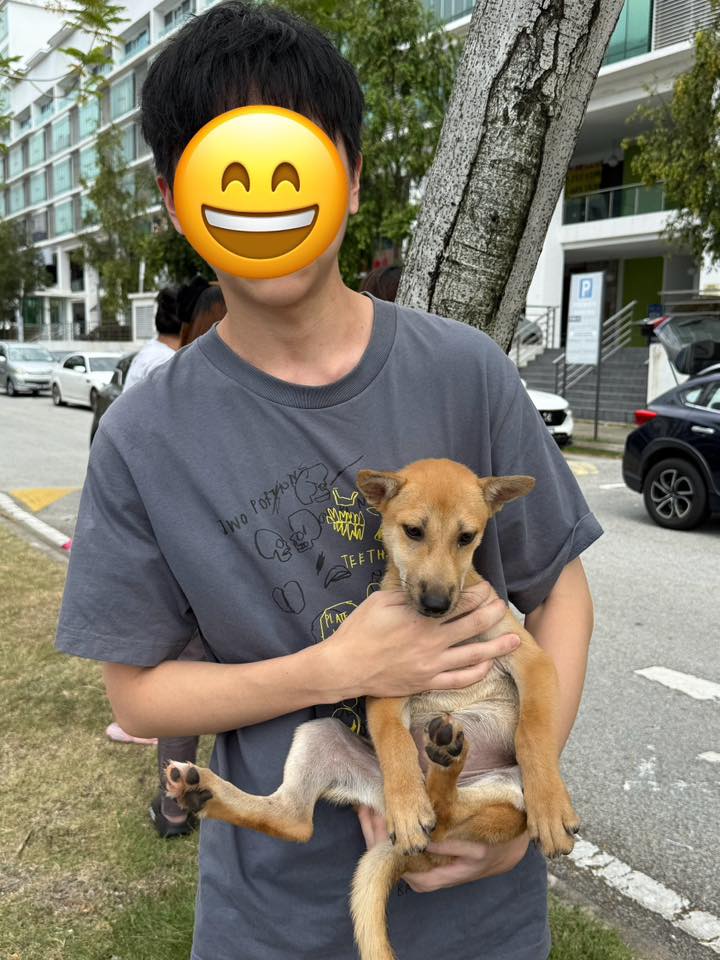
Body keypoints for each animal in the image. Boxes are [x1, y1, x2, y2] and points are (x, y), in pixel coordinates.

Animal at [165, 458, 580, 960]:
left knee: (443, 816)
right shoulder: (387, 684)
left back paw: (448, 762)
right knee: (306, 820)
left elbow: (534, 732)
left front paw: (550, 805)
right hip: (323, 737)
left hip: (501, 801)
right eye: (413, 531)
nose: (437, 604)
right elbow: (396, 743)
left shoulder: (532, 662)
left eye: (467, 537)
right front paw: (406, 802)